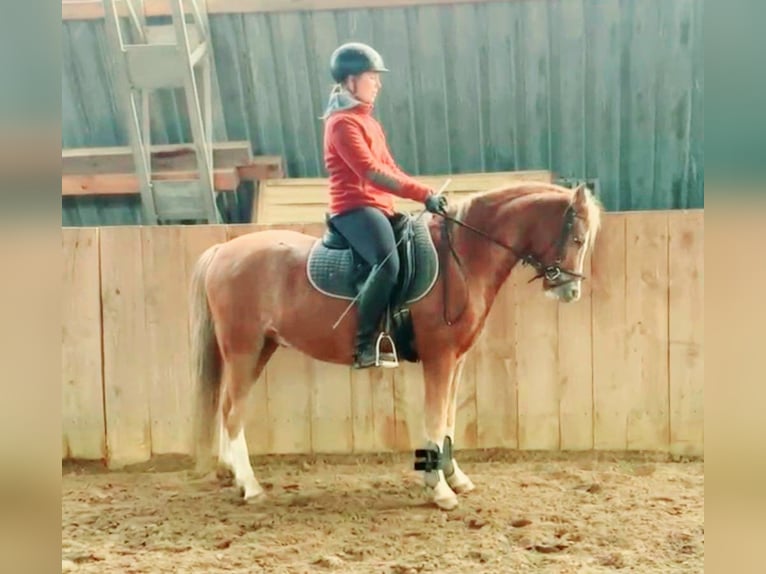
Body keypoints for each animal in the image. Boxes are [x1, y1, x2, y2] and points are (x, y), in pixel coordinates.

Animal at [189, 181, 602, 510]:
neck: (463, 257)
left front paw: (455, 478)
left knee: (227, 409)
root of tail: (222, 252)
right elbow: (434, 419)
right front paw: (440, 491)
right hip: (243, 349)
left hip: (261, 348)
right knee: (233, 413)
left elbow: (448, 419)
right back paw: (252, 487)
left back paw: (234, 476)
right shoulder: (440, 358)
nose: (570, 290)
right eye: (577, 238)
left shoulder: (456, 361)